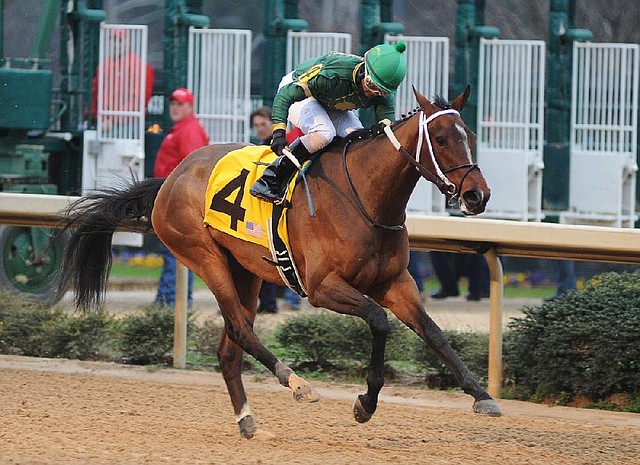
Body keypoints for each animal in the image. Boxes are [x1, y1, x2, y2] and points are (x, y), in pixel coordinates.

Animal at [57, 85, 500, 436]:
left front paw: (481, 394)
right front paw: (365, 403)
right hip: (204, 257)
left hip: (245, 272)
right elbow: (378, 321)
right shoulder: (323, 288)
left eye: (470, 135)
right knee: (240, 330)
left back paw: (249, 422)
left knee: (229, 349)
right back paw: (297, 383)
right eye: (440, 138)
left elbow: (433, 332)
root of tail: (171, 177)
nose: (478, 195)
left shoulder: (394, 283)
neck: (364, 196)